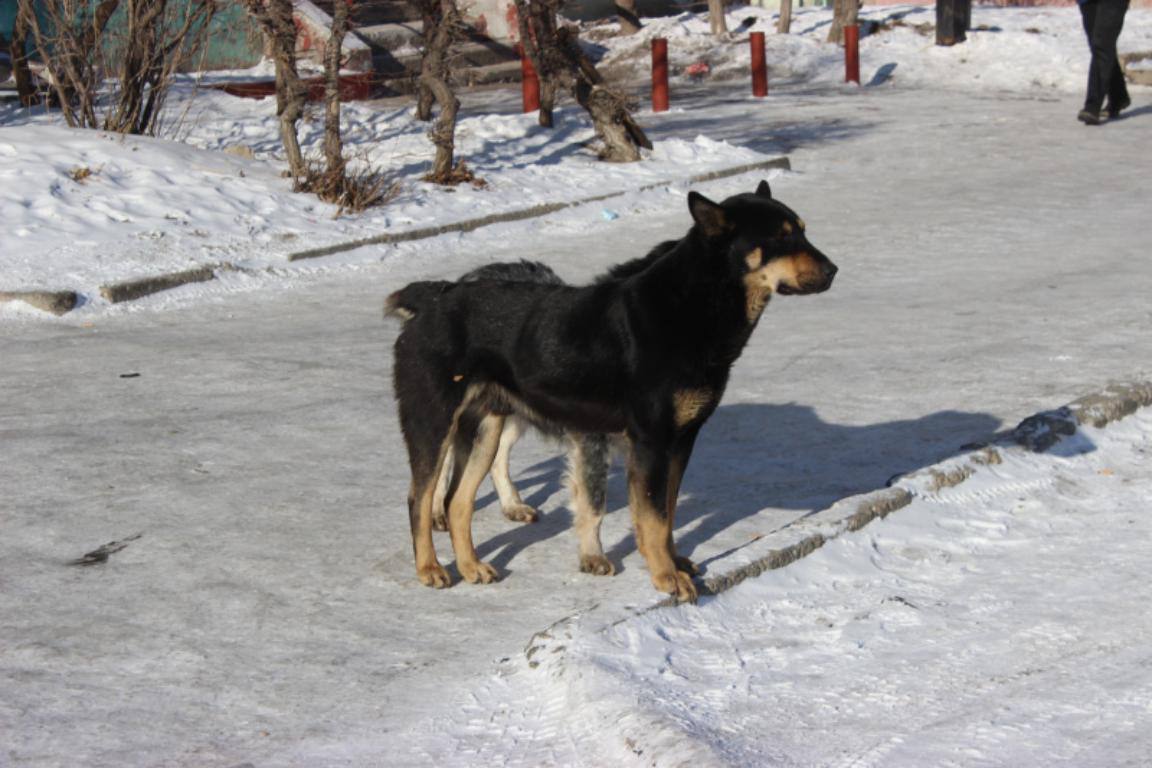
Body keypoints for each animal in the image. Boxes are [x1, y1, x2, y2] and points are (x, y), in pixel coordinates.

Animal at [387, 183, 838, 603]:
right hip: (433, 423)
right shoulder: (649, 442)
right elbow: (650, 516)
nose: (834, 270)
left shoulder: (680, 442)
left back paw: (471, 565)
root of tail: (434, 297)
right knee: (419, 498)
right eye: (781, 238)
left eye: (802, 231)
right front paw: (665, 576)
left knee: (457, 502)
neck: (692, 305)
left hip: (485, 430)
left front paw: (674, 563)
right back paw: (430, 567)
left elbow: (667, 511)